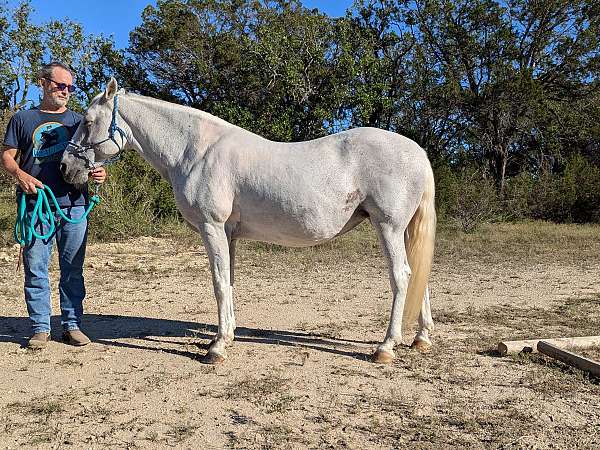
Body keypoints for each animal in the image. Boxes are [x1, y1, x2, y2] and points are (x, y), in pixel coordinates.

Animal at [61, 78, 436, 366]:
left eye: (89, 121)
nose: (65, 166)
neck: (196, 151)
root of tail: (418, 152)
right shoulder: (229, 234)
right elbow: (228, 282)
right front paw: (226, 335)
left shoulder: (212, 227)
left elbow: (217, 283)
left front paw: (216, 348)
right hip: (401, 231)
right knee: (418, 274)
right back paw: (421, 339)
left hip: (388, 227)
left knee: (402, 276)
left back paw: (385, 348)